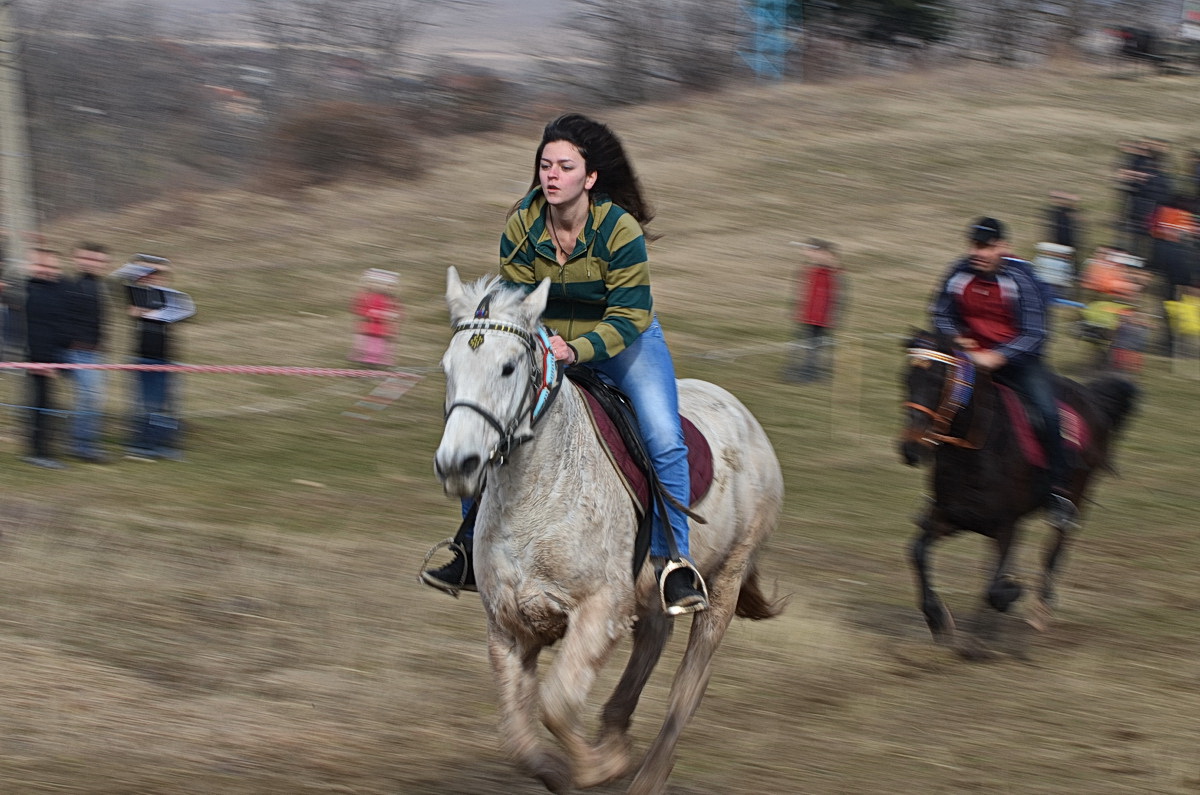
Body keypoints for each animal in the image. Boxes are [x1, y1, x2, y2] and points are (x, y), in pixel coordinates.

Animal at [436, 269, 782, 795]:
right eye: (447, 368)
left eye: (508, 368)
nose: (458, 464)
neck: (539, 493)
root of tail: (746, 419)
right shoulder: (509, 625)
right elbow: (518, 738)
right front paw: (574, 767)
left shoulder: (599, 611)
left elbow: (556, 705)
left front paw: (600, 767)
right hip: (654, 591)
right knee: (653, 640)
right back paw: (617, 732)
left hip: (724, 582)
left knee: (689, 682)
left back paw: (648, 772)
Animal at [897, 333, 1137, 653]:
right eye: (906, 378)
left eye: (938, 379)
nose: (911, 449)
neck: (976, 452)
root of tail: (1090, 397)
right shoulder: (950, 517)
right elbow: (918, 553)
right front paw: (937, 618)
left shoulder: (1005, 526)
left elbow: (996, 586)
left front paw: (994, 618)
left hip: (1074, 497)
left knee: (1055, 550)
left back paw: (1040, 610)